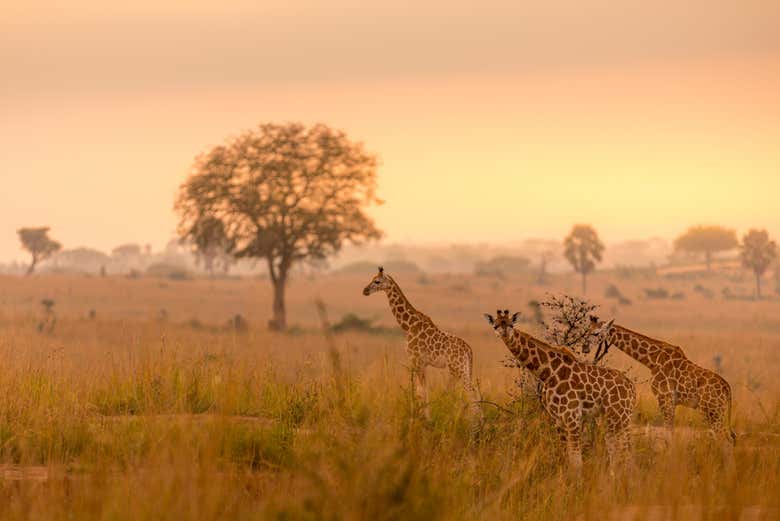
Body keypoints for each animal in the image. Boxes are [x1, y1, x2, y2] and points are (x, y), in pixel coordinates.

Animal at [362, 267, 482, 421]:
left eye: (377, 281)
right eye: (372, 279)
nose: (364, 290)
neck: (408, 326)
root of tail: (469, 350)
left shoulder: (416, 360)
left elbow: (420, 390)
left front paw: (422, 418)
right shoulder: (423, 364)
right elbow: (423, 390)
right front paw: (425, 417)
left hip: (457, 368)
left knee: (471, 392)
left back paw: (477, 421)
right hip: (462, 369)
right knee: (473, 392)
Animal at [484, 310, 636, 468]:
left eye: (511, 325)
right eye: (495, 325)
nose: (504, 334)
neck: (548, 374)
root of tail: (632, 387)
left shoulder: (572, 417)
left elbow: (576, 460)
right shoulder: (558, 420)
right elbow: (566, 457)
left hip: (622, 415)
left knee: (628, 452)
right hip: (610, 417)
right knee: (615, 452)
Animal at [587, 316, 736, 447]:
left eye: (596, 333)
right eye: (587, 330)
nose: (585, 347)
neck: (652, 360)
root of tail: (727, 389)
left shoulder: (665, 398)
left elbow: (668, 435)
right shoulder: (671, 401)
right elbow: (670, 432)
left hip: (713, 411)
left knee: (726, 441)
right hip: (716, 411)